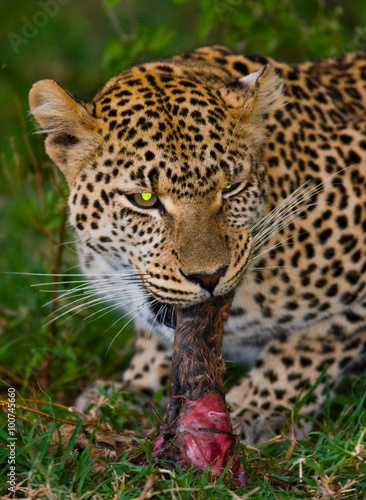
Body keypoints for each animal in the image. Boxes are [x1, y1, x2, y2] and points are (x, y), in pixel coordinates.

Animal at [29, 45, 366, 444]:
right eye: (144, 199)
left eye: (230, 188)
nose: (209, 277)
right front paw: (133, 389)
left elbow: (314, 343)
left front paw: (259, 408)